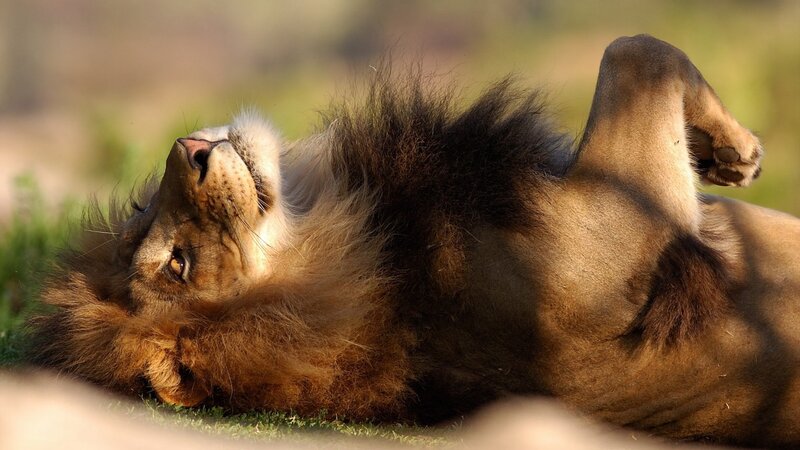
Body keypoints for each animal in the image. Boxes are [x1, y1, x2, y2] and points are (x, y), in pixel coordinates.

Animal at [26, 35, 800, 447]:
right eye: (177, 267)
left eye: (141, 212)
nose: (188, 147)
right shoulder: (631, 223)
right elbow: (638, 53)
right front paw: (736, 150)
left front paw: (725, 156)